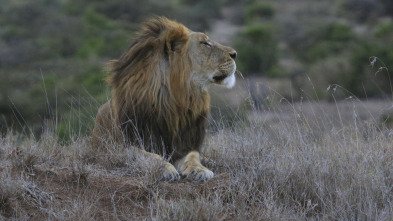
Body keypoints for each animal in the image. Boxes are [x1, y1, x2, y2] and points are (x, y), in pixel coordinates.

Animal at [90, 17, 237, 182]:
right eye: (205, 43)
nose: (235, 54)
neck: (175, 101)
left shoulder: (185, 143)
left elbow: (193, 156)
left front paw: (199, 170)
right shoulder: (122, 146)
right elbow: (146, 155)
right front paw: (165, 169)